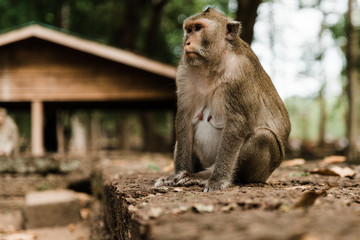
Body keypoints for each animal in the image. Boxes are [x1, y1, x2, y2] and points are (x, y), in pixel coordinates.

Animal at [154, 7, 290, 192]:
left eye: (198, 28)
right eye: (188, 30)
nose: (187, 42)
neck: (211, 64)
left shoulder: (240, 73)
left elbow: (237, 122)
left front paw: (217, 180)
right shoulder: (184, 72)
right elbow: (184, 117)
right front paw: (177, 174)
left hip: (262, 173)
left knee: (264, 137)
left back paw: (203, 176)